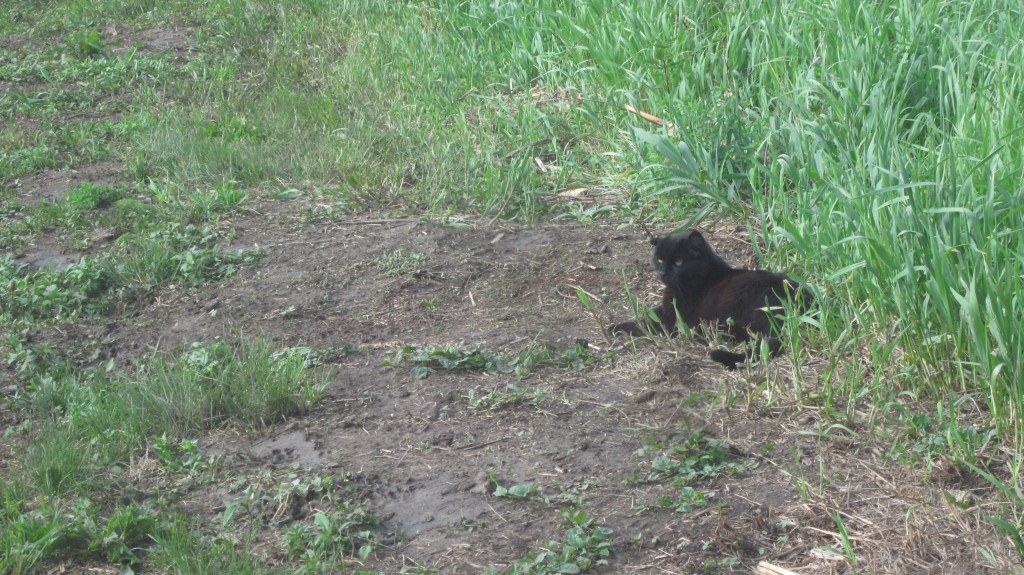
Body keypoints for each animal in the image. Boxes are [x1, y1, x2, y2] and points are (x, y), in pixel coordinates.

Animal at [606, 228, 815, 366]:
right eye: (659, 260)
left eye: (679, 262)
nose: (663, 273)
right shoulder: (666, 310)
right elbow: (648, 314)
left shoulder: (672, 319)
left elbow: (644, 323)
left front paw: (615, 328)